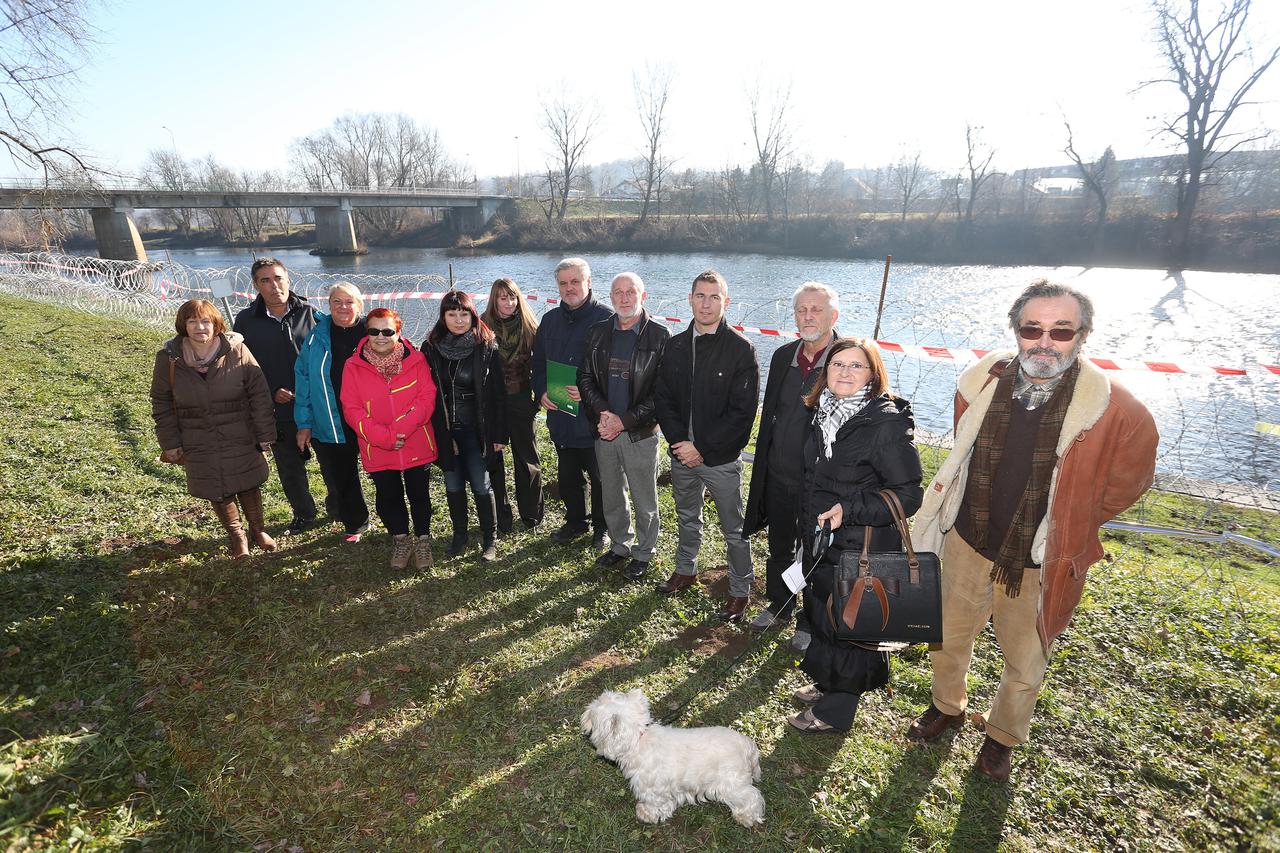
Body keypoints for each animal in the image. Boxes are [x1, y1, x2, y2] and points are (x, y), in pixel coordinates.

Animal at [583, 686, 762, 824]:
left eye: (593, 714)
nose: (584, 713)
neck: (638, 739)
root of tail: (747, 744)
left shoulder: (652, 789)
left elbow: (653, 804)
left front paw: (645, 813)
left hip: (732, 785)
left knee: (752, 796)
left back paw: (746, 817)